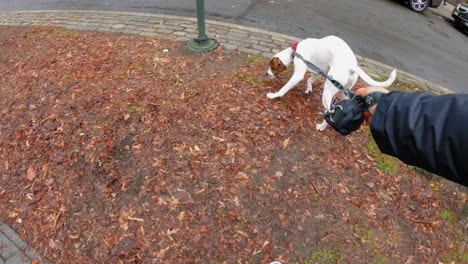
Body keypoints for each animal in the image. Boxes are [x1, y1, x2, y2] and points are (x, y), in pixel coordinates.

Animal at [266, 36, 394, 131]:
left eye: (272, 67)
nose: (266, 74)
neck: (295, 51)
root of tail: (351, 66)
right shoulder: (319, 71)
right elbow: (309, 80)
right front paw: (308, 89)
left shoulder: (298, 75)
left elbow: (284, 88)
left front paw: (274, 95)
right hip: (344, 92)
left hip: (327, 92)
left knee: (331, 112)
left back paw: (322, 126)